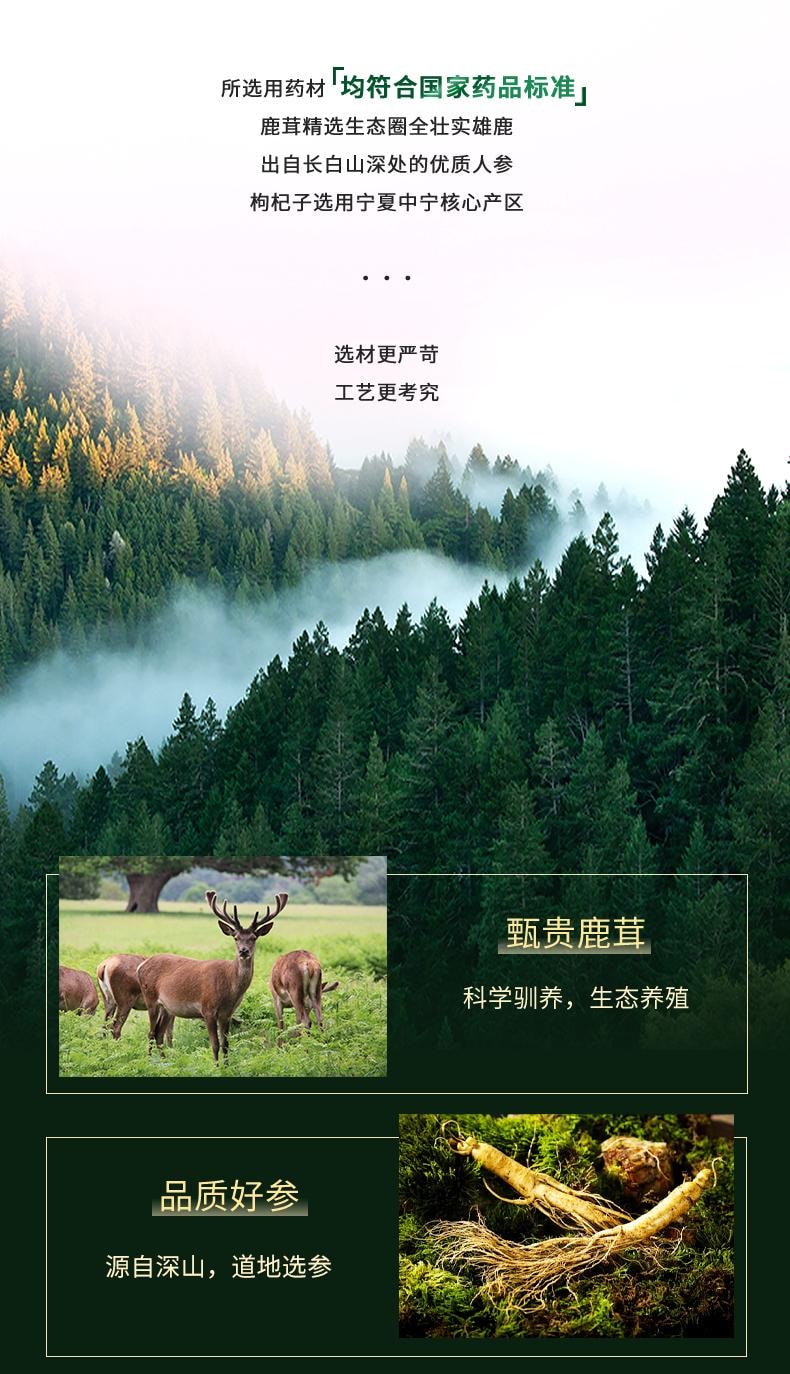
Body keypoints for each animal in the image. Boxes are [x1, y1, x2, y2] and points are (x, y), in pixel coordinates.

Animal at [137, 890, 287, 1062]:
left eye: (253, 938)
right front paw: (216, 1065)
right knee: (150, 1032)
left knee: (159, 1033)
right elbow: (214, 1044)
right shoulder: (207, 1008)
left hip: (167, 1007)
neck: (229, 988)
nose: (243, 951)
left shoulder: (227, 1013)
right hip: (150, 998)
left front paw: (227, 1065)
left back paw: (164, 1061)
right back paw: (150, 1061)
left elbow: (226, 1045)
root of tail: (141, 966)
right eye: (236, 937)